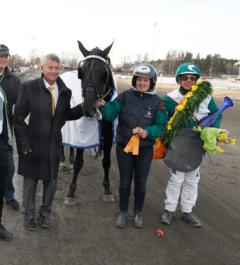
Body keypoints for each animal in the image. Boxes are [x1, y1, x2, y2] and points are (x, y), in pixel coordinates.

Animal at [61, 40, 116, 204]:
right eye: (82, 72)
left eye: (105, 73)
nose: (88, 108)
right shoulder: (82, 134)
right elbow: (79, 163)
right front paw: (71, 191)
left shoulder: (108, 135)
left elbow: (107, 162)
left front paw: (107, 189)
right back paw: (63, 160)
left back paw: (70, 161)